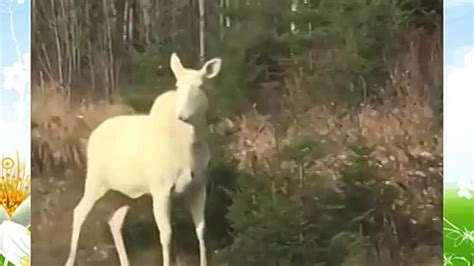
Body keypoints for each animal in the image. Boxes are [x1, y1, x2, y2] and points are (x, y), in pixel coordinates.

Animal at [64, 52, 223, 266]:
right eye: (178, 85)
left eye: (200, 85)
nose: (182, 115)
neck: (190, 146)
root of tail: (91, 137)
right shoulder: (161, 189)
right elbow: (166, 234)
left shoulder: (198, 186)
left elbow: (201, 229)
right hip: (95, 181)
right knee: (79, 212)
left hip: (123, 192)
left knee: (114, 220)